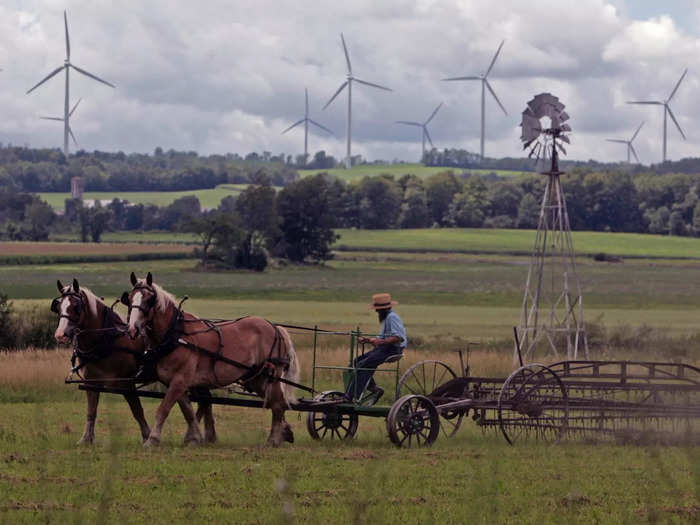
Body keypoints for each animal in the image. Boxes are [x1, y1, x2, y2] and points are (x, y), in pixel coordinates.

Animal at [53, 276, 211, 444]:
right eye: (58, 306)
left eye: (76, 306)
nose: (60, 335)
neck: (107, 340)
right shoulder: (91, 382)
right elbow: (91, 411)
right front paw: (86, 439)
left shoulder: (126, 383)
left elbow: (137, 410)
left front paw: (147, 435)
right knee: (205, 399)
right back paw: (207, 435)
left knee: (204, 399)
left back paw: (195, 435)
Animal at [124, 270, 300, 446]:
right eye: (130, 298)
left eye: (149, 299)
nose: (133, 328)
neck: (175, 335)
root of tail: (275, 327)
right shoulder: (175, 382)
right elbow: (188, 411)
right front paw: (194, 438)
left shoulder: (180, 380)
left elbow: (164, 409)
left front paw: (152, 440)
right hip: (256, 378)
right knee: (275, 402)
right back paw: (283, 433)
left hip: (272, 376)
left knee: (278, 404)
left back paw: (273, 440)